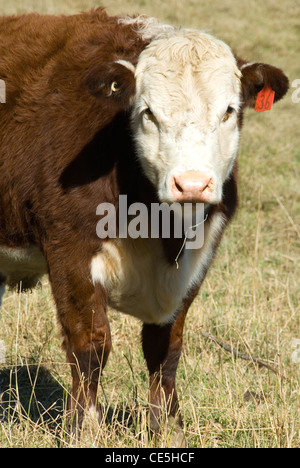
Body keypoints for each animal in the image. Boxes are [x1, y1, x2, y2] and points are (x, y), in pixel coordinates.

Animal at [0, 8, 288, 446]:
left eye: (229, 110)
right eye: (148, 112)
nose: (191, 184)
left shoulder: (197, 259)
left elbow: (165, 348)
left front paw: (167, 425)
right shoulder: (69, 247)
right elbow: (91, 344)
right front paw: (84, 428)